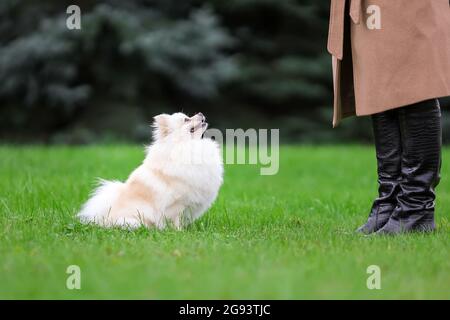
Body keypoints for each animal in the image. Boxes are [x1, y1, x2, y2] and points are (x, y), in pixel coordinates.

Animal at [79, 112, 225, 230]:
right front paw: (179, 232)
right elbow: (176, 220)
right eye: (186, 119)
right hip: (135, 219)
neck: (185, 146)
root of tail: (104, 220)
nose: (200, 113)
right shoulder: (177, 205)